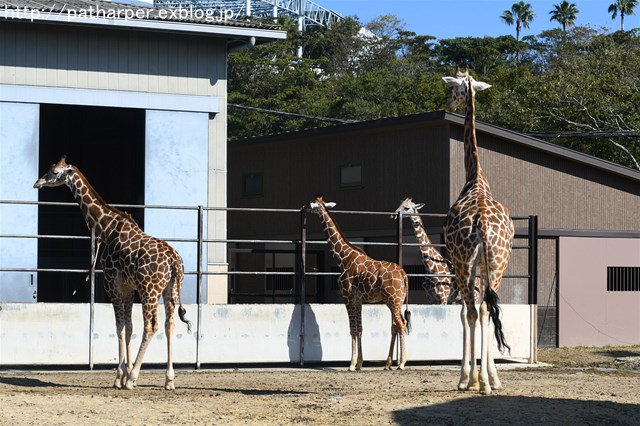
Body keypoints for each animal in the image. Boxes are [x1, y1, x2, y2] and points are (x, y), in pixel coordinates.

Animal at [34, 156, 191, 390]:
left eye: (54, 171)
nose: (37, 183)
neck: (105, 228)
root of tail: (174, 261)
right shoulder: (127, 287)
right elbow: (129, 327)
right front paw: (124, 373)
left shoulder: (112, 284)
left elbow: (119, 327)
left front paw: (120, 377)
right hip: (170, 290)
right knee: (169, 325)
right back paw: (169, 380)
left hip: (150, 290)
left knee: (151, 326)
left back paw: (133, 378)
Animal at [308, 195, 410, 372]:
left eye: (314, 205)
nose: (306, 207)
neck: (343, 257)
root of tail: (404, 274)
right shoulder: (358, 299)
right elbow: (360, 329)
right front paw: (360, 363)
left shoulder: (347, 296)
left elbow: (353, 329)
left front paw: (351, 364)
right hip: (395, 300)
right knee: (395, 326)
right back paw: (388, 363)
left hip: (393, 300)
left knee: (401, 324)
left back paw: (402, 363)